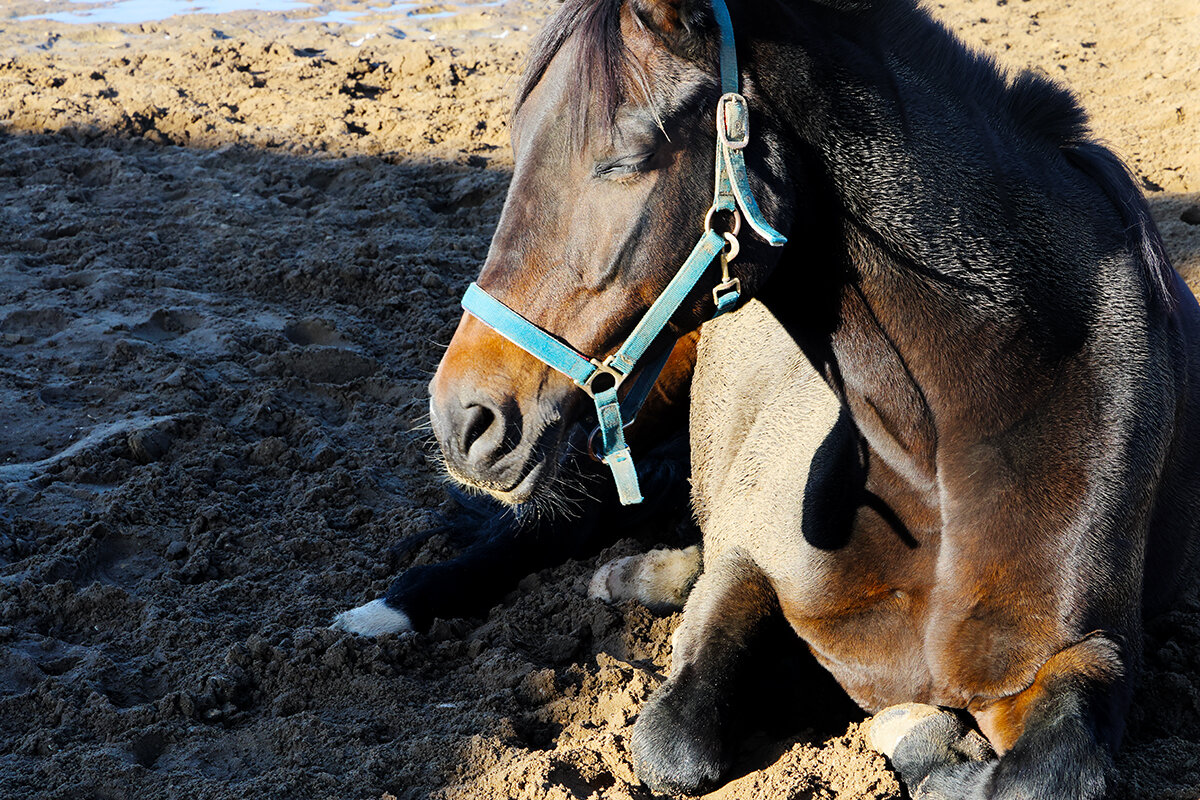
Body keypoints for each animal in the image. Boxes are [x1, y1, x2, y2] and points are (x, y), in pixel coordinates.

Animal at [422, 0, 1200, 796]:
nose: (464, 417)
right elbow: (675, 741)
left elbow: (1043, 773)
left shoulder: (1086, 650)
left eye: (627, 158)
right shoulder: (751, 559)